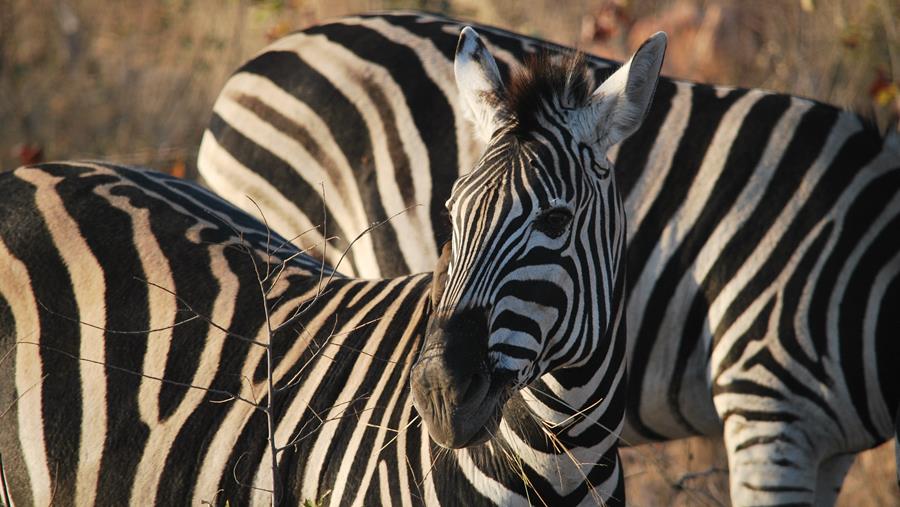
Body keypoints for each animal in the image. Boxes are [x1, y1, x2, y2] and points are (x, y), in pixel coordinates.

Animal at [197, 11, 900, 506]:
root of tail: (251, 68)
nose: (440, 393)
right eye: (448, 214)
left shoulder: (827, 450)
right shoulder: (767, 408)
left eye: (558, 221)